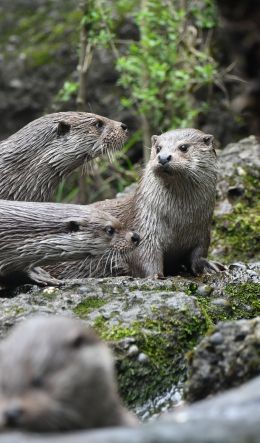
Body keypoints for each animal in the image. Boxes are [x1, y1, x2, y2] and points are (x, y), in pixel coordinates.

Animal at [49, 128, 220, 280]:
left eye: (183, 147)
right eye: (158, 148)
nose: (163, 157)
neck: (180, 222)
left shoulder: (203, 232)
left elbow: (198, 254)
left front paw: (209, 267)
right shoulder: (145, 226)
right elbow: (143, 255)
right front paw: (155, 276)